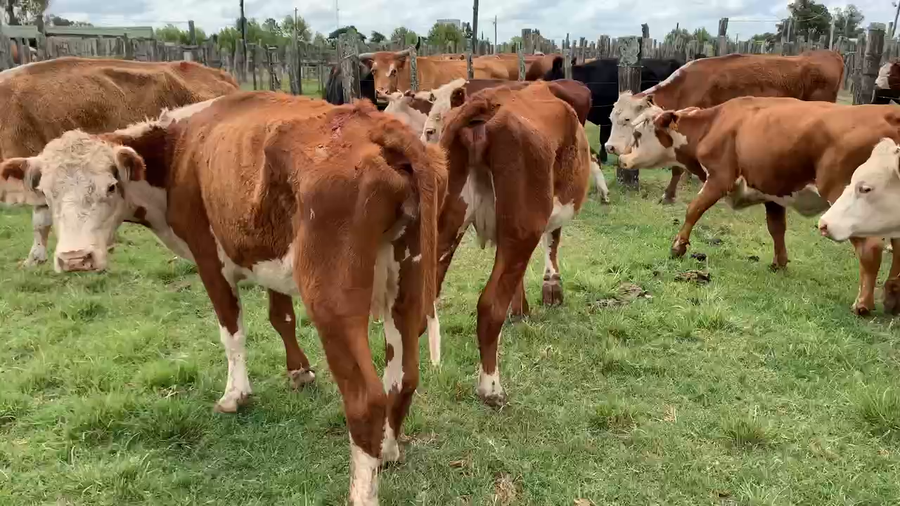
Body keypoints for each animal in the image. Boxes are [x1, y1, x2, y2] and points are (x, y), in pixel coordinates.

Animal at [0, 92, 447, 506]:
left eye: (111, 186)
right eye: (45, 193)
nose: (75, 259)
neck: (179, 149)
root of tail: (376, 124)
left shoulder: (208, 258)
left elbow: (231, 331)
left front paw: (236, 394)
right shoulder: (262, 251)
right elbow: (281, 317)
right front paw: (299, 372)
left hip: (332, 300)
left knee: (366, 400)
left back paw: (362, 489)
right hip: (406, 279)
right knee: (402, 376)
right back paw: (387, 450)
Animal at [433, 83, 591, 404]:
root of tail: (485, 102)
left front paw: (520, 309)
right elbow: (553, 242)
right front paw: (551, 289)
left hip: (447, 226)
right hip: (523, 228)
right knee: (489, 306)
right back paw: (491, 388)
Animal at [606, 51, 844, 203]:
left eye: (627, 120)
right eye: (610, 118)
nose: (610, 147)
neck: (686, 88)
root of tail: (828, 54)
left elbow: (678, 168)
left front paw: (669, 195)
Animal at [618, 97, 900, 315]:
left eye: (637, 133)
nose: (621, 158)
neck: (714, 125)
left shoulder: (719, 178)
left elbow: (694, 209)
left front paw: (678, 246)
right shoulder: (773, 195)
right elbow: (776, 229)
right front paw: (779, 263)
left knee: (871, 247)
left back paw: (863, 303)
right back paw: (891, 295)